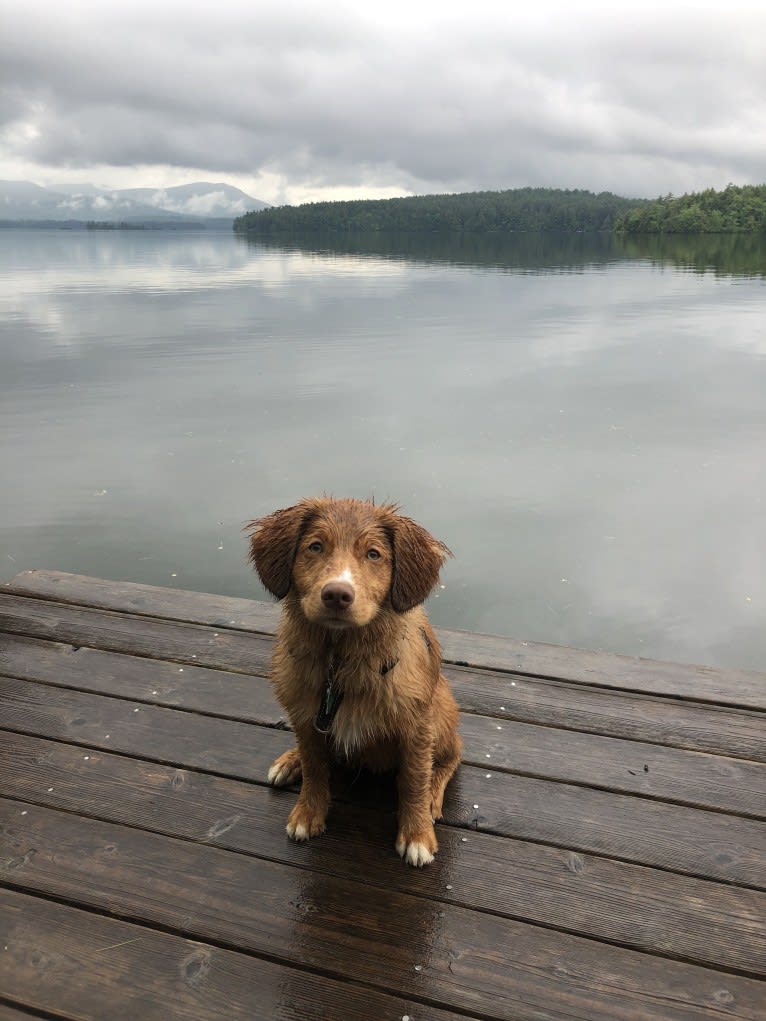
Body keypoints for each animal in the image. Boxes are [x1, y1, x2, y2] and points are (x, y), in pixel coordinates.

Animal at [249, 498, 461, 865]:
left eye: (373, 554)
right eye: (315, 547)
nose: (337, 594)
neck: (340, 661)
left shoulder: (417, 726)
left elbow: (414, 779)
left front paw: (417, 834)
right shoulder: (306, 714)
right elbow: (315, 766)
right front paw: (307, 813)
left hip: (443, 711)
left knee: (452, 756)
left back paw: (434, 796)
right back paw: (290, 761)